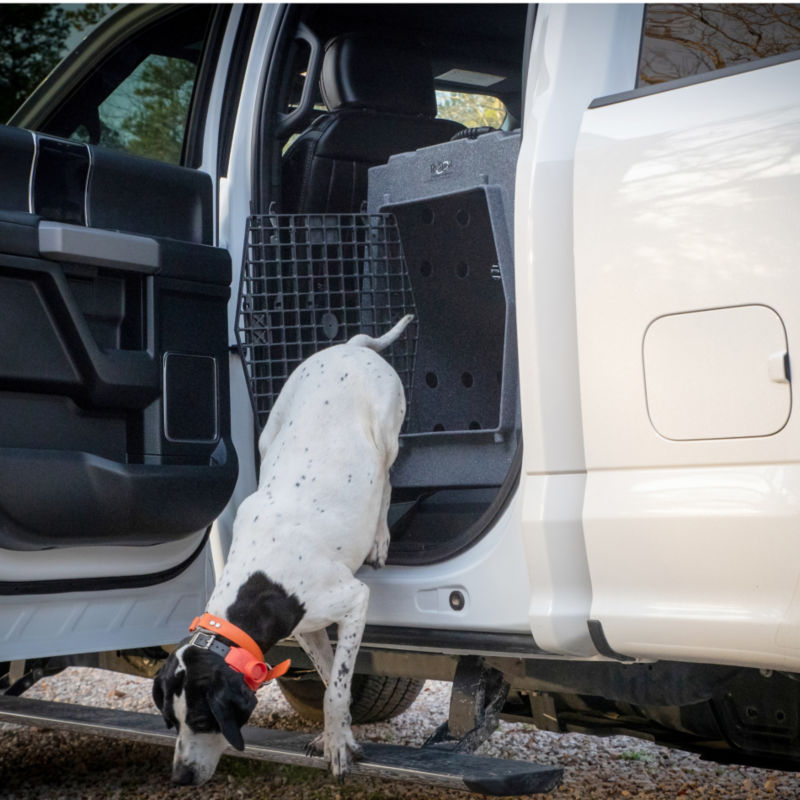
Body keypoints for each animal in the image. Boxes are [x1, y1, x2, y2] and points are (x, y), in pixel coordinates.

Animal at [152, 316, 412, 784]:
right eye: (170, 722)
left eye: (203, 721)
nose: (180, 776)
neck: (260, 581)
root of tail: (351, 346)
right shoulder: (307, 627)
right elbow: (331, 679)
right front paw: (339, 736)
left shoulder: (353, 601)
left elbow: (335, 690)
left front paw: (337, 745)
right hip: (270, 431)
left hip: (387, 432)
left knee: (385, 482)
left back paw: (380, 537)